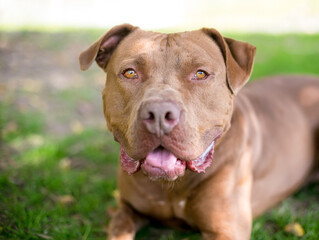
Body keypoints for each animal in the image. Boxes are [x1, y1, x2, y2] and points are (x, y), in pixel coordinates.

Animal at [79, 24, 319, 240]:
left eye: (200, 74)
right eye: (130, 73)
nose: (159, 113)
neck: (172, 186)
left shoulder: (226, 230)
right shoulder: (126, 210)